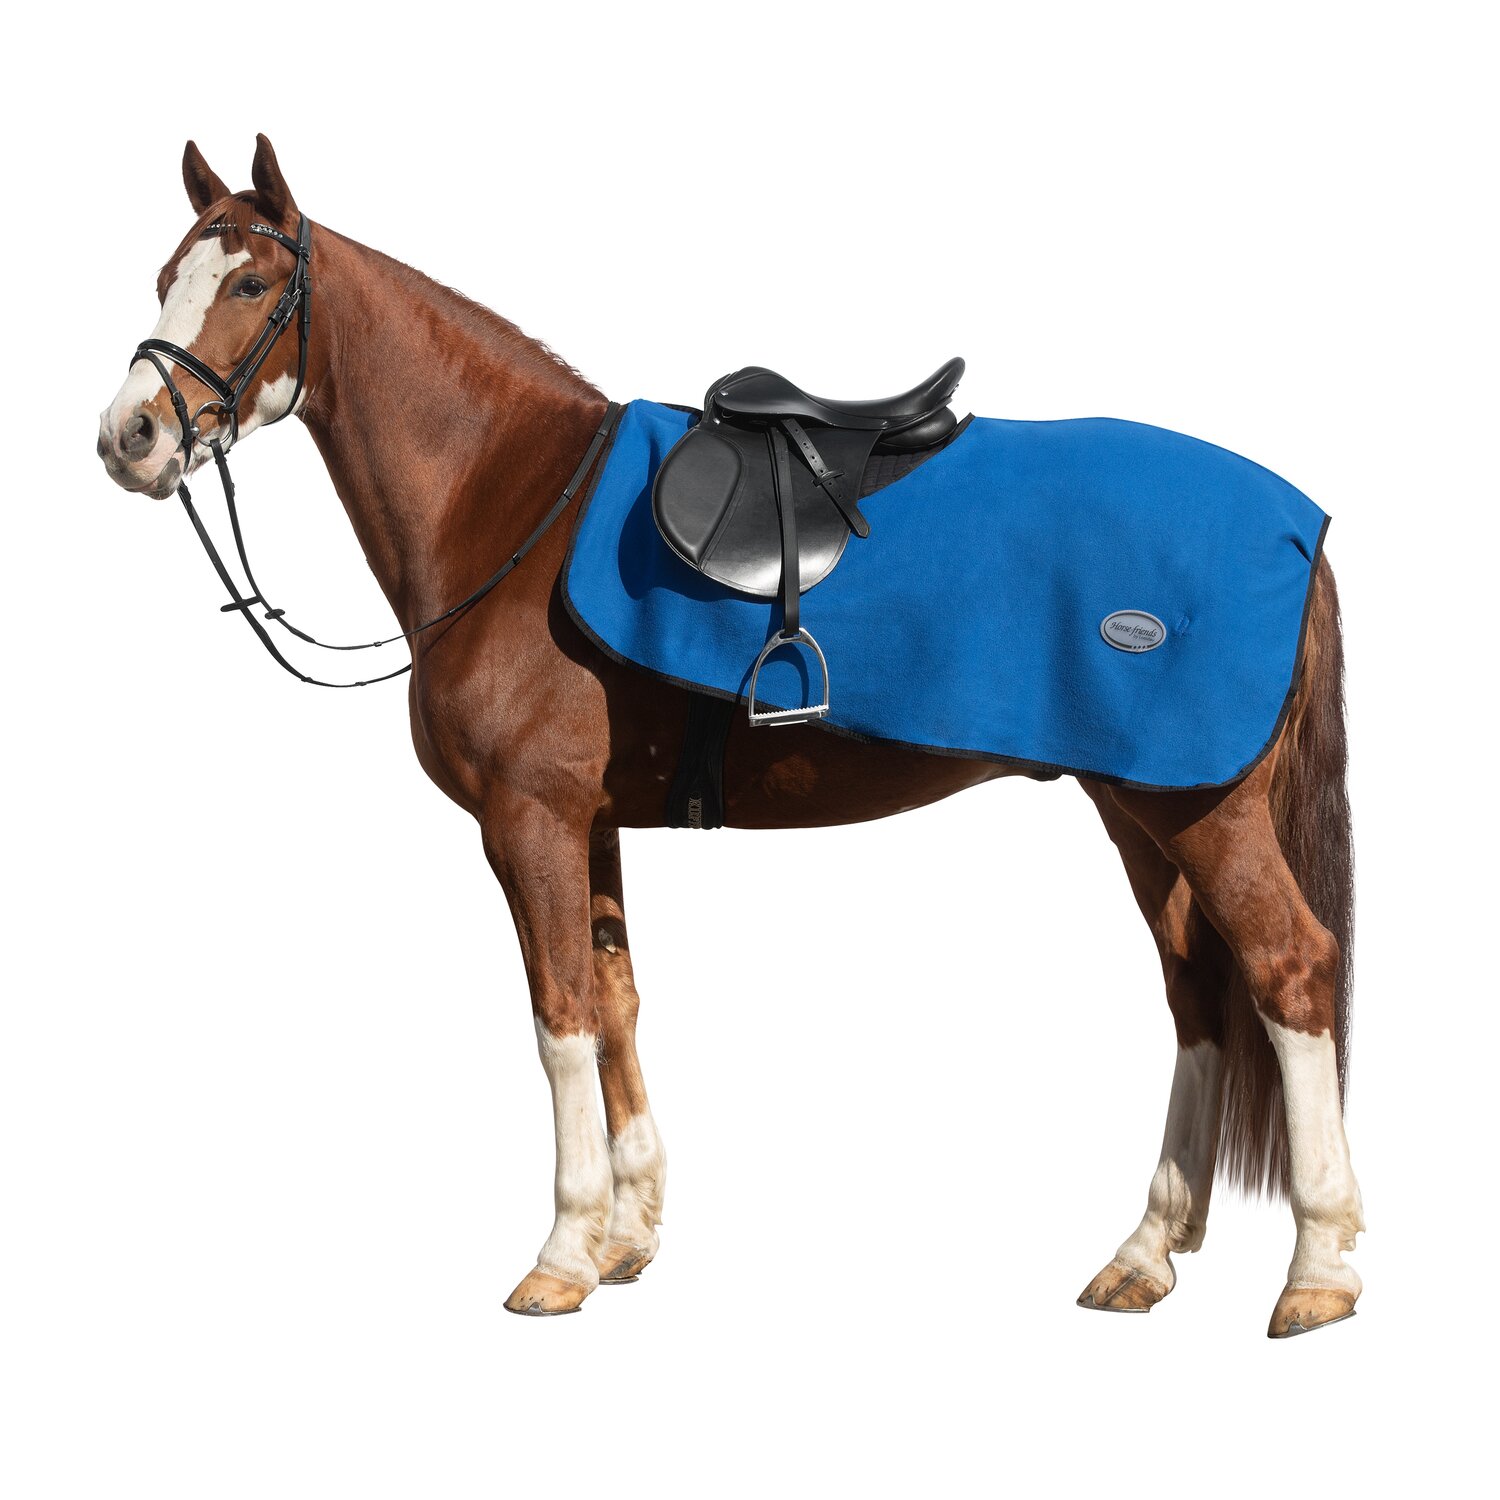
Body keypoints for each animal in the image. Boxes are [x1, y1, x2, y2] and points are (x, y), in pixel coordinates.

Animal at [96, 135, 1364, 1336]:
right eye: (166, 277)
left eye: (252, 283)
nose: (129, 435)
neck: (517, 503)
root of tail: (1298, 524)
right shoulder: (591, 824)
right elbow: (614, 1006)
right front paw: (625, 1237)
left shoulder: (528, 819)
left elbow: (559, 1019)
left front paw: (560, 1256)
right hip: (1140, 810)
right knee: (1198, 995)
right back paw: (1144, 1254)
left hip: (1198, 813)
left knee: (1289, 971)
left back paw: (1318, 1269)